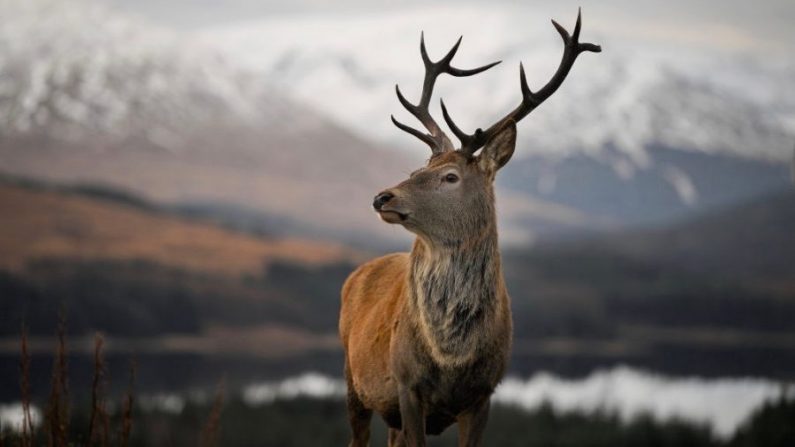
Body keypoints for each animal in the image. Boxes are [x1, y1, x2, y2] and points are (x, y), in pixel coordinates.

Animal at [338, 10, 600, 447]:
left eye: (450, 177)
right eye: (417, 169)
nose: (382, 197)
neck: (451, 358)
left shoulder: (484, 394)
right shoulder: (407, 386)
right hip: (352, 380)